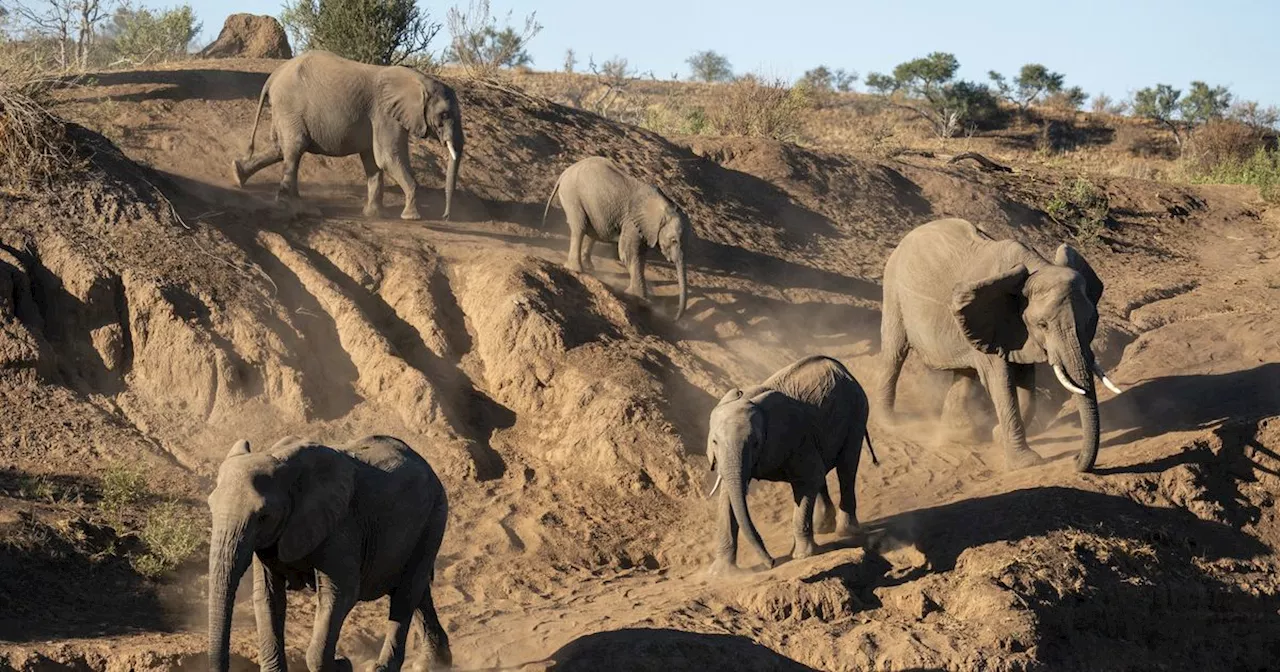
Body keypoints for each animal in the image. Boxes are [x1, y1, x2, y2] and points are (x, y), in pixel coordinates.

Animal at [207, 435, 453, 670]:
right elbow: (268, 596)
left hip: (434, 517)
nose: (343, 658)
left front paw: (343, 664)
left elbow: (340, 593)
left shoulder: (341, 526)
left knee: (406, 593)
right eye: (210, 506)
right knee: (417, 591)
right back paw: (434, 664)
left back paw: (384, 668)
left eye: (263, 516)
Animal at [231, 53, 465, 220]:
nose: (445, 217)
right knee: (295, 149)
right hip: (290, 107)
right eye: (444, 115)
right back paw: (298, 209)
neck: (419, 79)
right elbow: (387, 158)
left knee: (282, 149)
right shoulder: (385, 114)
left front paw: (375, 215)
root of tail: (273, 76)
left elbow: (373, 161)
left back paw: (238, 174)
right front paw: (412, 217)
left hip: (285, 111)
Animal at [540, 156, 691, 318]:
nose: (675, 318)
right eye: (674, 241)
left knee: (593, 230)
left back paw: (589, 267)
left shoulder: (641, 227)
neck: (665, 206)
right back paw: (576, 269)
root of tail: (564, 173)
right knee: (579, 227)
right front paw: (639, 298)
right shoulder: (632, 221)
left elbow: (637, 254)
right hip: (572, 196)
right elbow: (629, 254)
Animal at [706, 355, 875, 570]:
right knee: (823, 474)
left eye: (755, 443)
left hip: (857, 413)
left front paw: (802, 556)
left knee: (846, 468)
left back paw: (846, 531)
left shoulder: (796, 436)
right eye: (714, 442)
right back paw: (822, 528)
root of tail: (843, 369)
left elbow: (808, 480)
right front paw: (722, 572)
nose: (771, 562)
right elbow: (728, 496)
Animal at [875, 217, 1126, 468]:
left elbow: (1027, 381)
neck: (1035, 268)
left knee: (965, 372)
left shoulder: (1017, 329)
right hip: (894, 290)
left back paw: (959, 434)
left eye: (1091, 320)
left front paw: (996, 436)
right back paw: (891, 423)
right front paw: (1027, 462)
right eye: (1043, 325)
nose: (1074, 459)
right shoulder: (996, 319)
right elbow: (1001, 382)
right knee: (894, 353)